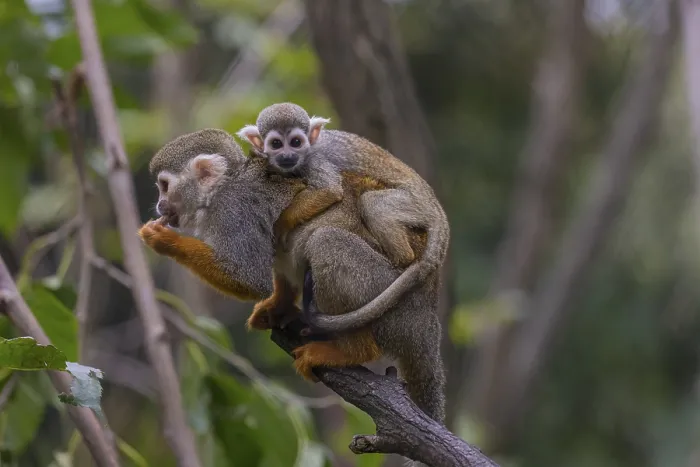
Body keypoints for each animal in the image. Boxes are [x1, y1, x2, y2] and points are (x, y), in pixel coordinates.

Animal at [139, 129, 446, 425]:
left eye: (164, 186)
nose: (159, 204)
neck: (220, 191)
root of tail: (427, 323)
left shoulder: (234, 213)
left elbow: (248, 278)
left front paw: (165, 240)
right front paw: (279, 305)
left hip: (389, 300)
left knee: (326, 242)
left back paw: (354, 351)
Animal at [236, 103, 450, 335]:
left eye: (295, 142)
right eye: (276, 144)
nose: (287, 156)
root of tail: (438, 210)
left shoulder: (315, 161)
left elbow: (329, 190)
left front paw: (283, 223)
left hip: (414, 204)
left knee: (372, 204)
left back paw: (401, 259)